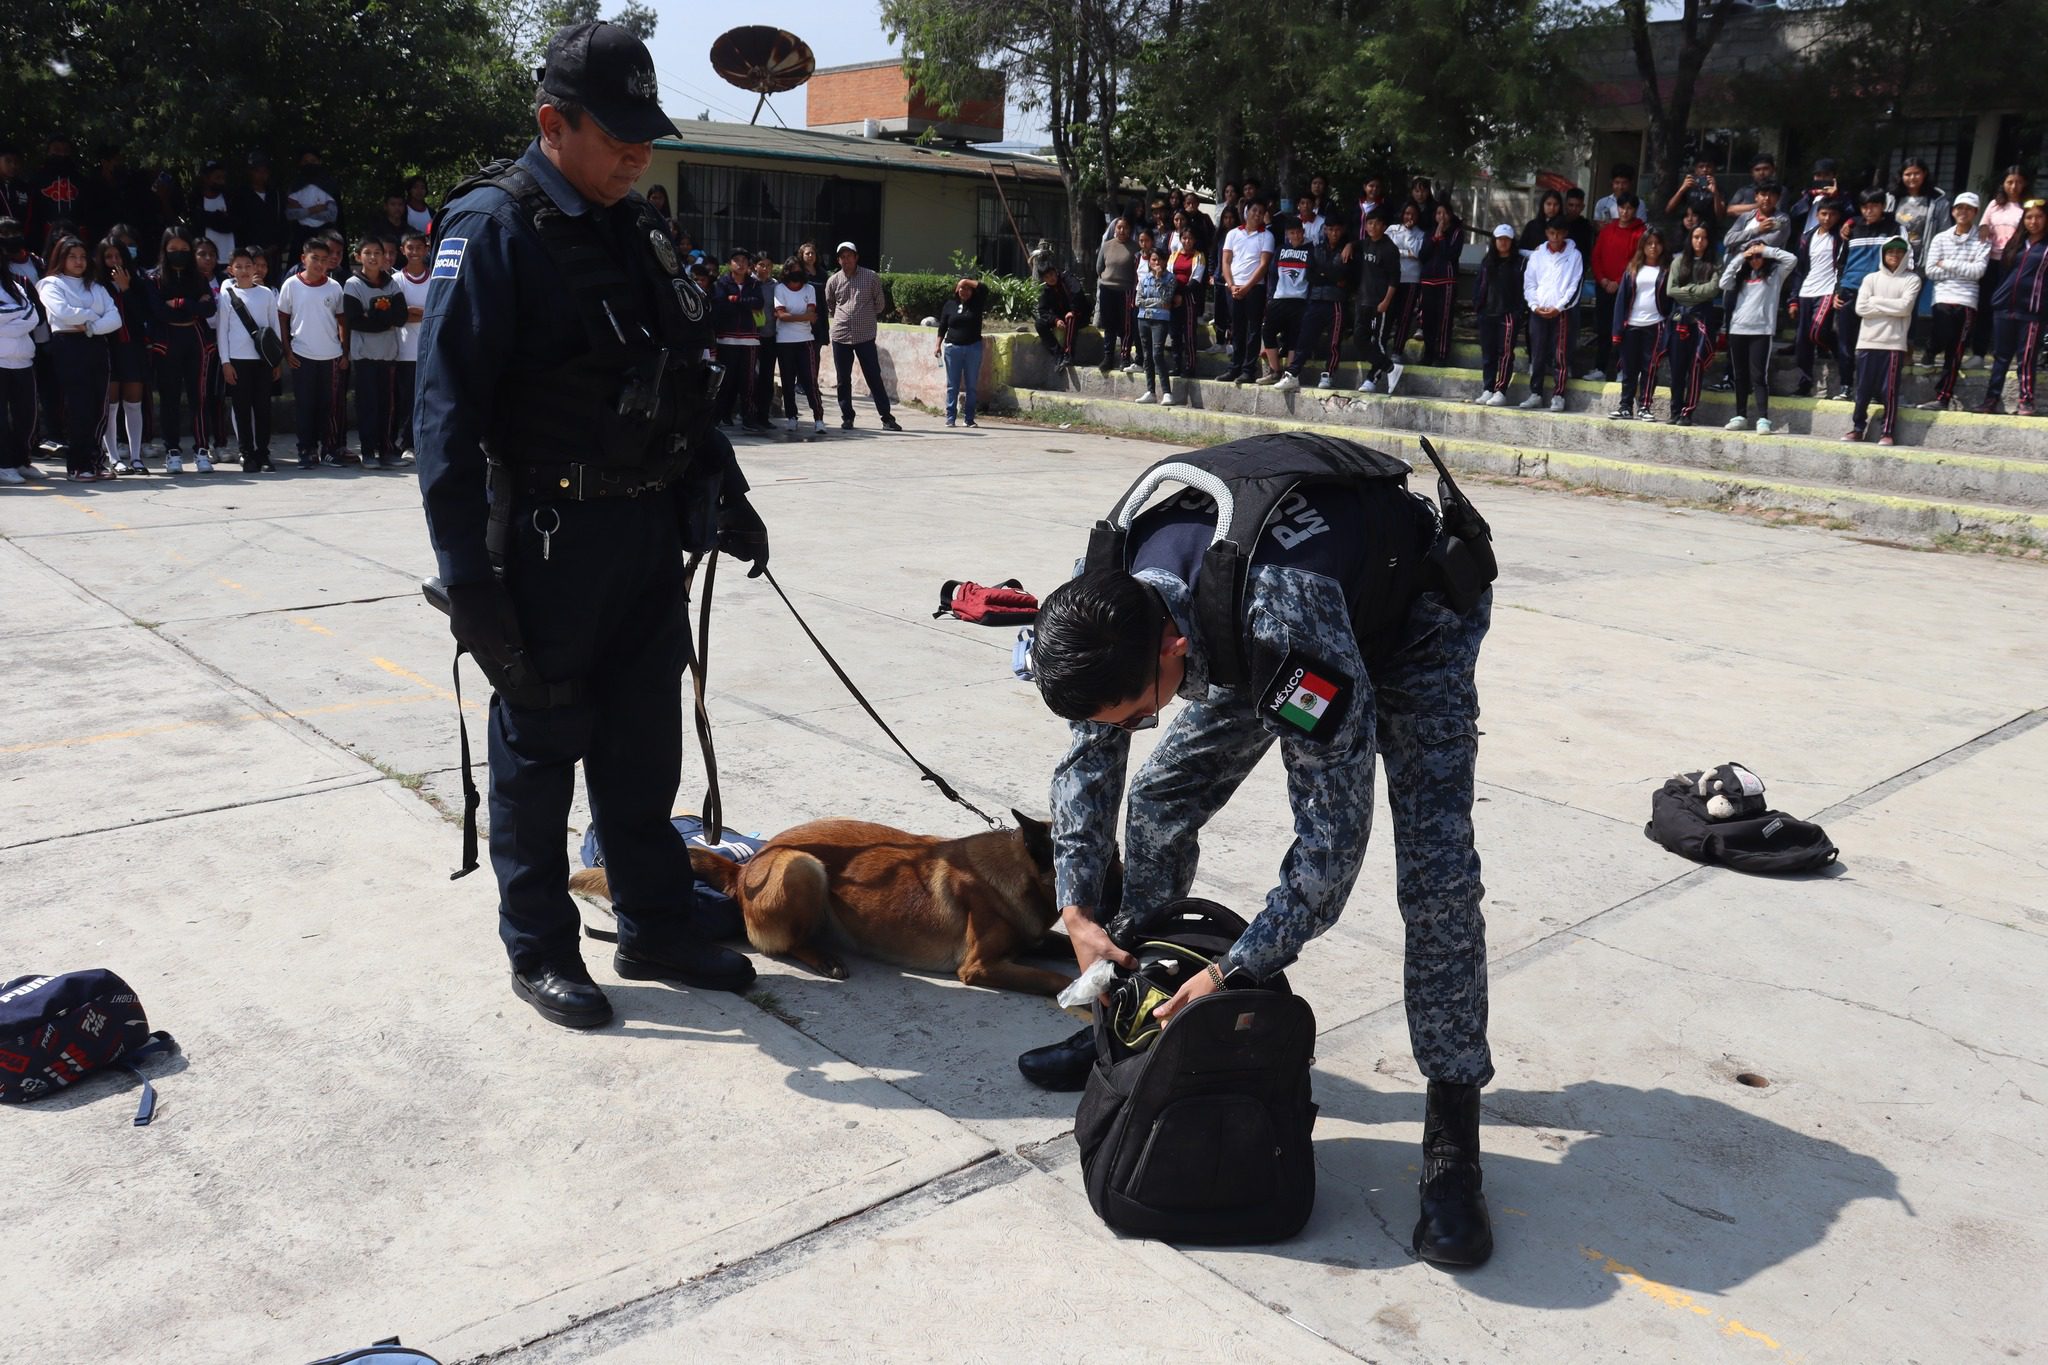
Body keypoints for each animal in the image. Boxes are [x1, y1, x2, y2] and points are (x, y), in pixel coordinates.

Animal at [573, 810, 1105, 994]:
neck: (1016, 869)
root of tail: (745, 868)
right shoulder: (979, 967)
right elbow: (1053, 977)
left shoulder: (1033, 938)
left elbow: (1060, 946)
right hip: (802, 867)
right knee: (787, 944)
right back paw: (824, 958)